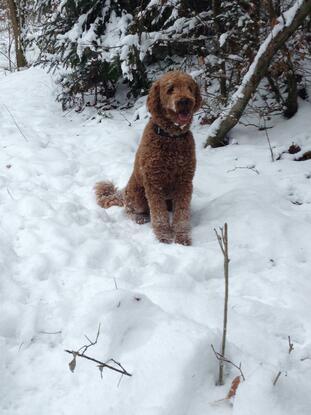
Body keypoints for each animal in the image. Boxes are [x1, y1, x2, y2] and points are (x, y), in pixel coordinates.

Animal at [95, 71, 202, 245]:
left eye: (189, 88)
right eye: (170, 89)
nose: (185, 101)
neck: (171, 138)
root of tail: (123, 191)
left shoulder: (185, 182)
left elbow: (181, 214)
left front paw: (182, 237)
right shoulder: (154, 183)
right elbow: (158, 214)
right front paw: (164, 236)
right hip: (138, 195)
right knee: (129, 210)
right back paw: (139, 217)